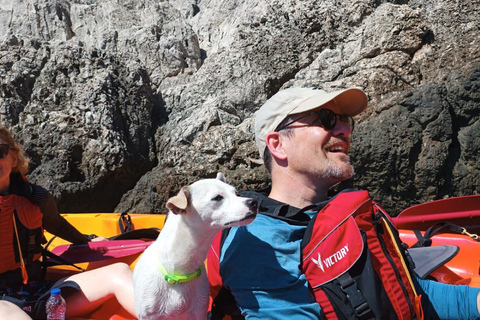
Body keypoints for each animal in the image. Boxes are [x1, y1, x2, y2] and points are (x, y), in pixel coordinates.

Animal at [131, 174, 258, 318]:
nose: (254, 202)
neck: (178, 274)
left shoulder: (198, 312)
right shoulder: (149, 315)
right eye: (217, 197)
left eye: (236, 193)